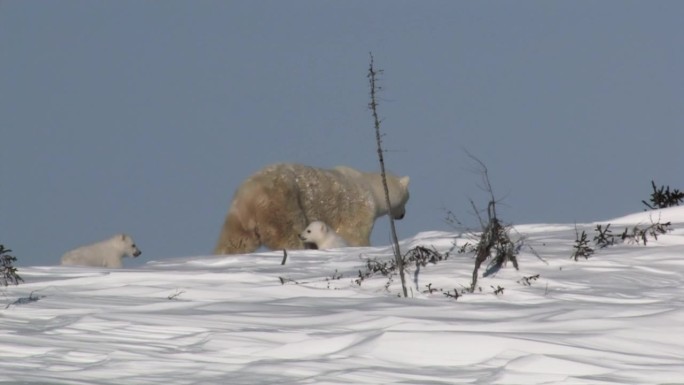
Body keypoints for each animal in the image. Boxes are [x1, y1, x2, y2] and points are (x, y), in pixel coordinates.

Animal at [214, 163, 408, 255]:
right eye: (408, 197)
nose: (402, 215)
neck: (370, 186)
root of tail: (250, 194)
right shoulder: (358, 209)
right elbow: (355, 236)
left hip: (239, 216)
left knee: (236, 241)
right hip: (283, 205)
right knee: (289, 235)